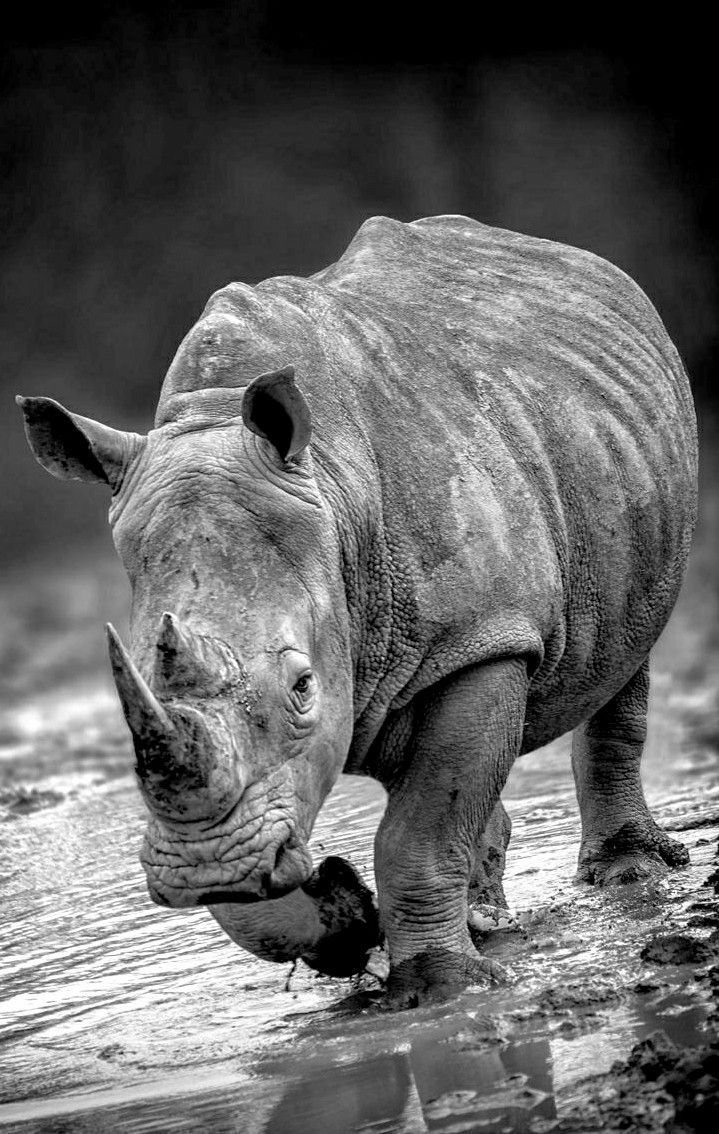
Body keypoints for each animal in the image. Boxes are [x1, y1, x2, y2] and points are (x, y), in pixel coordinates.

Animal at [18, 215, 697, 1003]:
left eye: (302, 688)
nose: (202, 871)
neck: (335, 503)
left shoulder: (482, 640)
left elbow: (420, 831)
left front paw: (441, 988)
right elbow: (268, 869)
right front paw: (346, 922)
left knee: (625, 653)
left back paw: (624, 877)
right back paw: (489, 920)